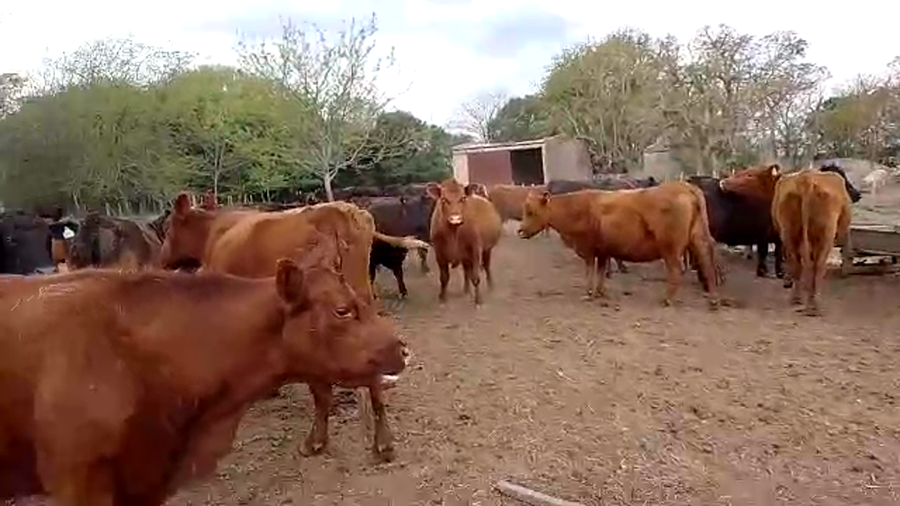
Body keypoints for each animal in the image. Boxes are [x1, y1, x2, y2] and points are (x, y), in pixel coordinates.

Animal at [160, 193, 426, 461]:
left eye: (168, 228)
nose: (162, 261)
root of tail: (338, 212)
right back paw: (383, 443)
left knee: (323, 392)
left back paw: (316, 441)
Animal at [517, 183, 719, 307]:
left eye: (531, 211)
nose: (520, 231)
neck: (576, 208)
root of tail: (683, 185)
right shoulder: (603, 250)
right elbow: (601, 270)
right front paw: (600, 292)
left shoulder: (588, 248)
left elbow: (590, 270)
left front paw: (589, 293)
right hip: (697, 239)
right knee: (707, 264)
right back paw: (713, 301)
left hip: (671, 248)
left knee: (676, 271)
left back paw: (667, 299)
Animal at [772, 163, 862, 316]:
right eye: (847, 181)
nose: (858, 194)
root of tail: (806, 180)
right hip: (826, 234)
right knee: (818, 265)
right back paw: (814, 306)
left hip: (789, 233)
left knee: (797, 263)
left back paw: (797, 299)